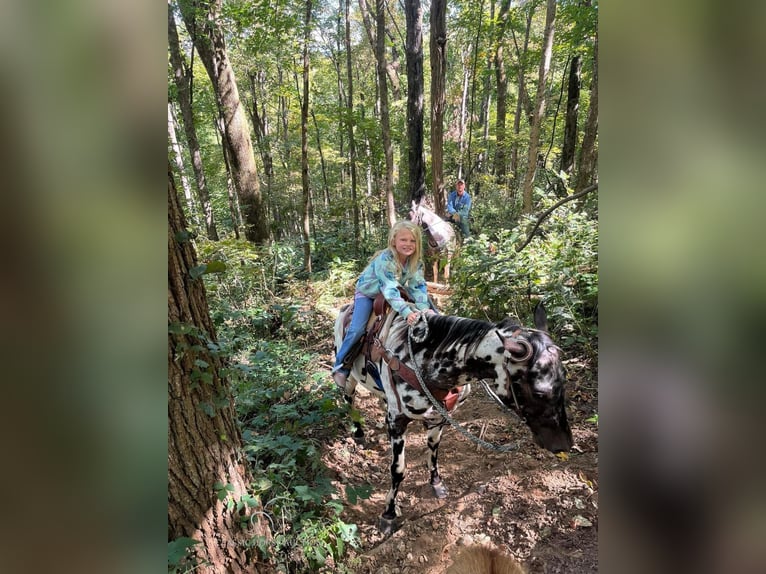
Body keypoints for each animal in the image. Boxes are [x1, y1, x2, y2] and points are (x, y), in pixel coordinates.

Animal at [332, 304, 572, 536]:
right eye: (539, 392)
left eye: (564, 378)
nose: (564, 444)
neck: (426, 361)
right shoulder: (397, 421)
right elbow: (398, 470)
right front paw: (389, 514)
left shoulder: (439, 417)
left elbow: (433, 451)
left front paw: (436, 483)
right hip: (350, 380)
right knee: (349, 400)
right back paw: (359, 433)